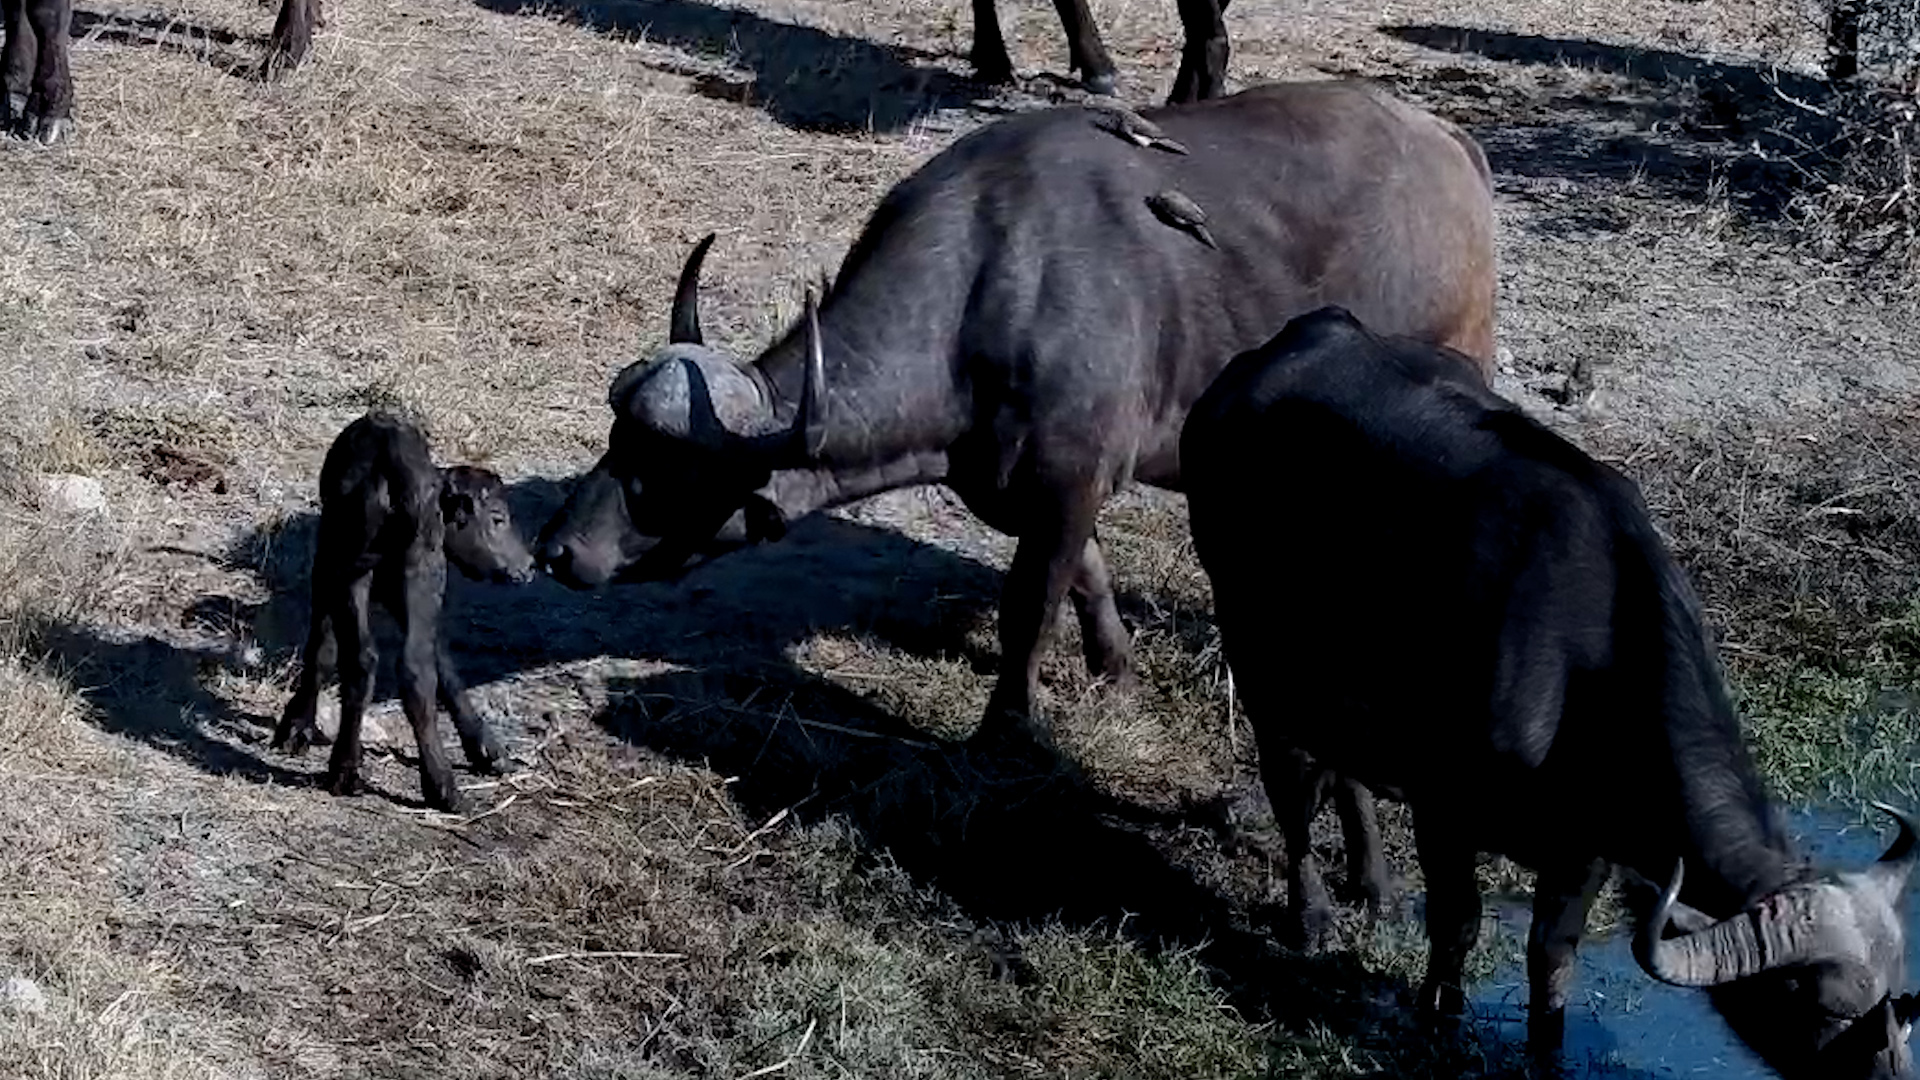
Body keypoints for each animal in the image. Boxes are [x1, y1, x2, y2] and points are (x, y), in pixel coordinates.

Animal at [277, 412, 536, 812]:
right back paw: (441, 785)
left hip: (358, 567)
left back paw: (348, 770)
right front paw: (485, 748)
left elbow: (322, 647)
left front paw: (295, 727)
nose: (529, 564)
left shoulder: (333, 563)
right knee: (410, 666)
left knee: (364, 659)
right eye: (498, 519)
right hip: (415, 567)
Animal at [1181, 305, 1918, 1079]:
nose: (1889, 1073)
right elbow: (1458, 923)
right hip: (1256, 647)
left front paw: (1546, 1052)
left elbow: (1552, 957)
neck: (1583, 676)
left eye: (1898, 999)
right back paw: (1313, 916)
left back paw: (1375, 885)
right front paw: (1438, 1021)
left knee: (1344, 765)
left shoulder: (1582, 851)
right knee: (1291, 785)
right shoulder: (1445, 808)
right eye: (1826, 1006)